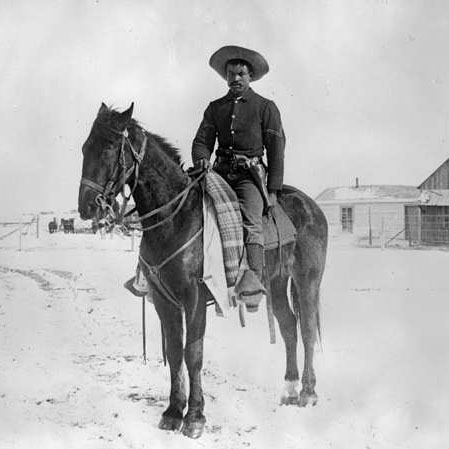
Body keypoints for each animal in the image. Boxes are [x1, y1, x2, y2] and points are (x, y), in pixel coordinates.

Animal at [79, 102, 328, 438]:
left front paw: (195, 417)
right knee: (289, 326)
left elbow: (193, 354)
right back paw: (288, 390)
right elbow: (174, 352)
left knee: (306, 328)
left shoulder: (195, 297)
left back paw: (308, 392)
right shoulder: (164, 300)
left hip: (307, 281)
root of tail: (311, 206)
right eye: (85, 148)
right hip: (276, 283)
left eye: (107, 148)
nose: (86, 206)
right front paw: (173, 412)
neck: (176, 217)